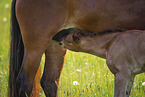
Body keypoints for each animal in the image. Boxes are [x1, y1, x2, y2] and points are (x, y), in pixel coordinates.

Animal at [9, 0, 145, 96]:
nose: (62, 39)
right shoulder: (123, 73)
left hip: (54, 47)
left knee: (50, 82)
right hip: (35, 47)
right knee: (25, 83)